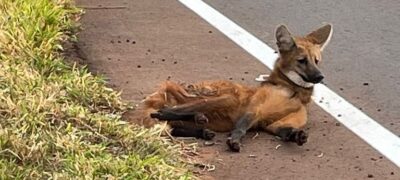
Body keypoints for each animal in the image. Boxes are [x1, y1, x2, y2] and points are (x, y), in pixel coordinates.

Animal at [127, 23, 332, 151]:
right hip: (224, 97)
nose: (320, 77)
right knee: (169, 111)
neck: (295, 92)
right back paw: (190, 117)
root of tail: (160, 92)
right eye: (302, 61)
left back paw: (202, 128)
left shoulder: (274, 124)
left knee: (172, 126)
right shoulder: (254, 109)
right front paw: (234, 141)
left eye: (316, 61)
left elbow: (287, 131)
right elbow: (241, 127)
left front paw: (298, 136)